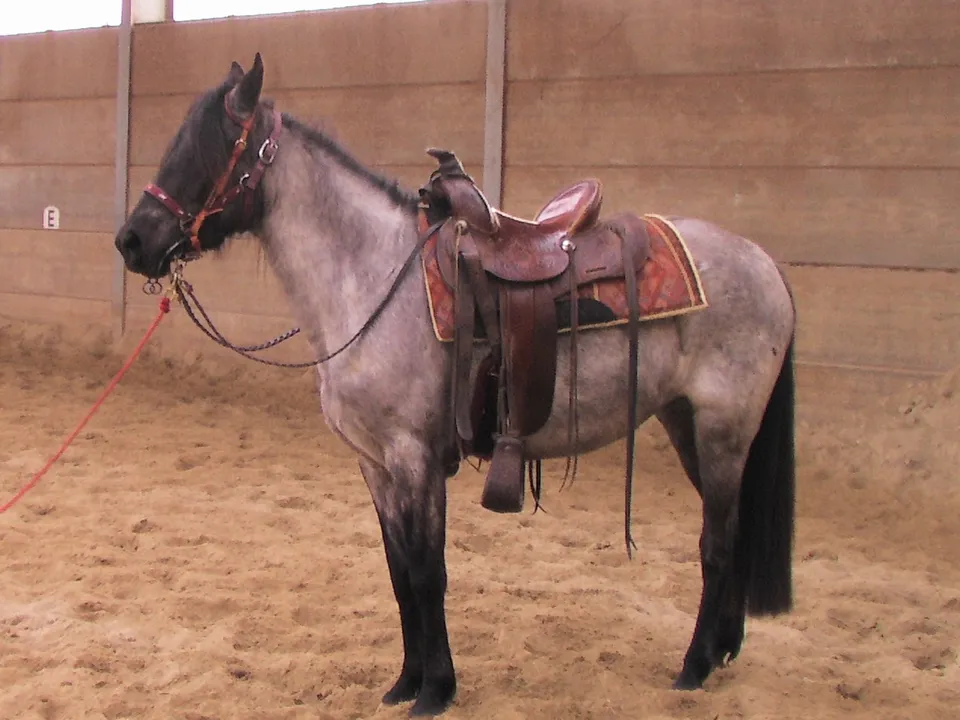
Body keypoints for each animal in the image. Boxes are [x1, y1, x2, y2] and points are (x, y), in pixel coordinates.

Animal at [115, 54, 796, 716]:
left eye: (211, 148)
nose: (132, 241)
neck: (372, 277)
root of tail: (763, 261)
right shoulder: (375, 464)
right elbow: (399, 572)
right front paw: (404, 682)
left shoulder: (414, 457)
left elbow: (427, 572)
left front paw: (435, 689)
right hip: (686, 423)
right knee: (731, 535)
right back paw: (721, 649)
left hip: (723, 432)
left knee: (717, 542)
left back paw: (694, 667)